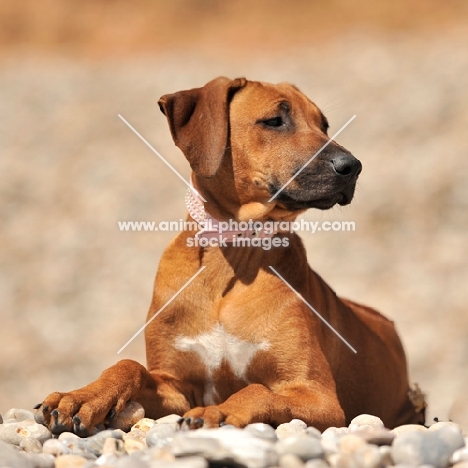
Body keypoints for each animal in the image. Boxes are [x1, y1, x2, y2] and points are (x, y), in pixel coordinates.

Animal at [34, 77, 426, 436]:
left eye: (323, 125)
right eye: (274, 120)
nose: (352, 166)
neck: (233, 256)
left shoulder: (319, 397)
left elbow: (257, 389)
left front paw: (220, 410)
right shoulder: (176, 385)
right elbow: (129, 365)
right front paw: (81, 396)